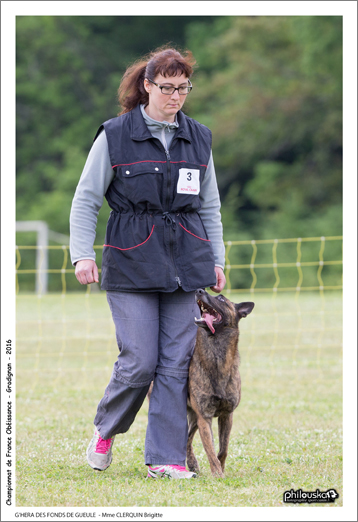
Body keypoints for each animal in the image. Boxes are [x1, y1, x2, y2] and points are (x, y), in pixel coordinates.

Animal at [187, 288, 255, 476]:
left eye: (222, 299)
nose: (199, 290)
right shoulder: (204, 417)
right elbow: (210, 449)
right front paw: (217, 473)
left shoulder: (227, 415)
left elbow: (223, 449)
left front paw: (221, 468)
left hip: (194, 419)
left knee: (187, 439)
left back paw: (192, 463)